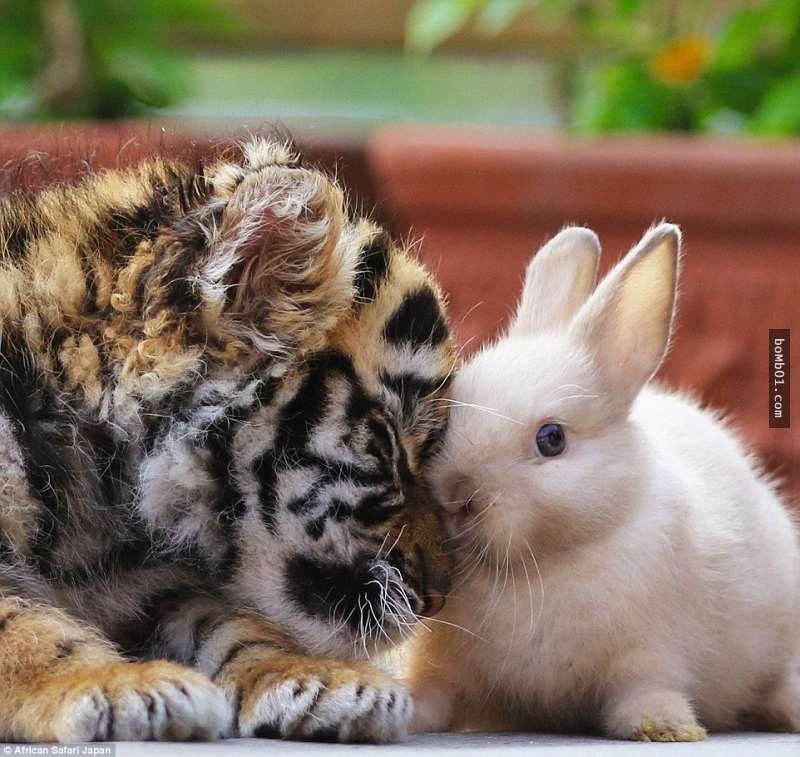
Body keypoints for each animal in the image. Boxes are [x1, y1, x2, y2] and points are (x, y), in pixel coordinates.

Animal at [0, 137, 455, 743]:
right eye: (388, 438)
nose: (440, 594)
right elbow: (18, 626)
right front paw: (118, 686)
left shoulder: (158, 587)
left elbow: (230, 625)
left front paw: (321, 680)